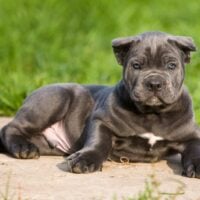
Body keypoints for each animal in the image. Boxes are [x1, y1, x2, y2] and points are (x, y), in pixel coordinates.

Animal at [0, 31, 200, 178]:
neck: (152, 113)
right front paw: (86, 159)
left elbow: (196, 149)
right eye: (136, 65)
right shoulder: (101, 121)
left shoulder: (192, 134)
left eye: (171, 65)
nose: (154, 83)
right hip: (55, 98)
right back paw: (23, 148)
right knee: (10, 127)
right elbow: (99, 142)